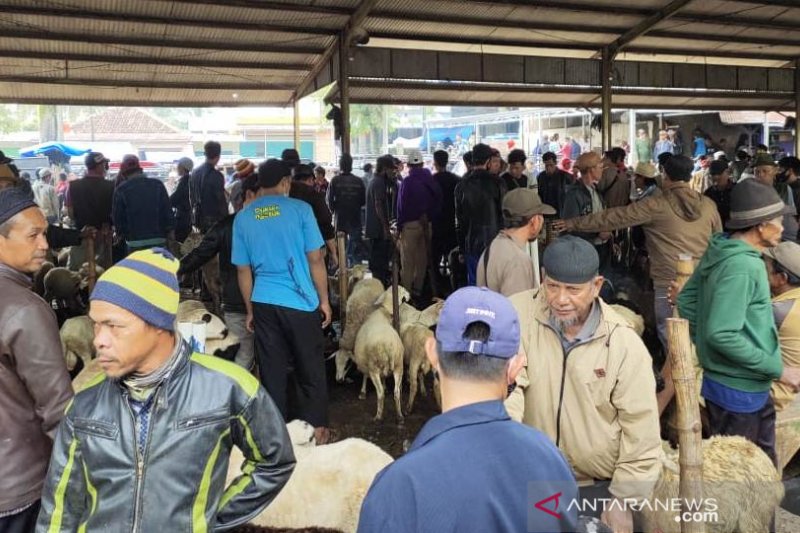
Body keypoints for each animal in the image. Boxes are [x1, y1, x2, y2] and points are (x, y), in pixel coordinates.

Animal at [354, 284, 410, 422]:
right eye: (402, 289)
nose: (409, 294)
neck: (383, 312)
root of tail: (388, 347)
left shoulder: (366, 363)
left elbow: (364, 375)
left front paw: (362, 392)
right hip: (398, 365)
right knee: (396, 393)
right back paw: (400, 416)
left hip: (374, 367)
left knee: (380, 394)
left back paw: (378, 416)